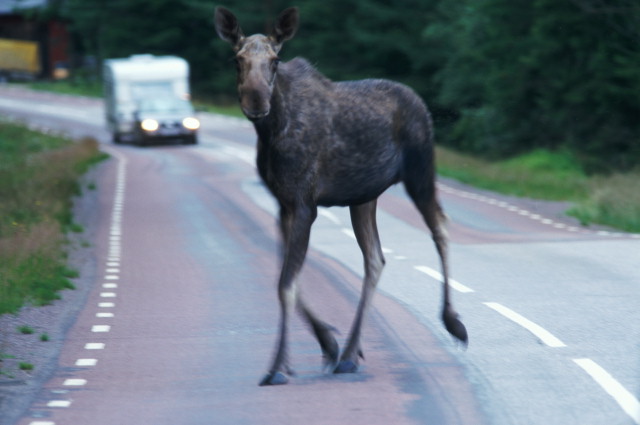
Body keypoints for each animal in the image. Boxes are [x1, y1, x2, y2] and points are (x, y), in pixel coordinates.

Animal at [212, 6, 468, 386]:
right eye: (236, 59)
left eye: (275, 60)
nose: (256, 101)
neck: (271, 133)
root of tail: (420, 101)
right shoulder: (284, 204)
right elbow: (287, 278)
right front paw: (328, 343)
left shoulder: (304, 204)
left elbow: (286, 284)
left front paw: (278, 366)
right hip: (363, 197)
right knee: (375, 258)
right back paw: (348, 353)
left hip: (420, 174)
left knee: (441, 227)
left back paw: (453, 322)